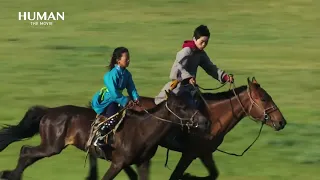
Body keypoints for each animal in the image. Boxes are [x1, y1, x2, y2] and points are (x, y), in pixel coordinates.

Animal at [0, 90, 210, 179]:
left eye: (191, 103)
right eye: (182, 106)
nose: (205, 121)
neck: (143, 130)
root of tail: (49, 112)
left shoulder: (142, 163)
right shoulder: (118, 163)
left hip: (51, 146)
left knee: (27, 153)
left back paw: (11, 174)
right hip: (52, 146)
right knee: (26, 150)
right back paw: (11, 175)